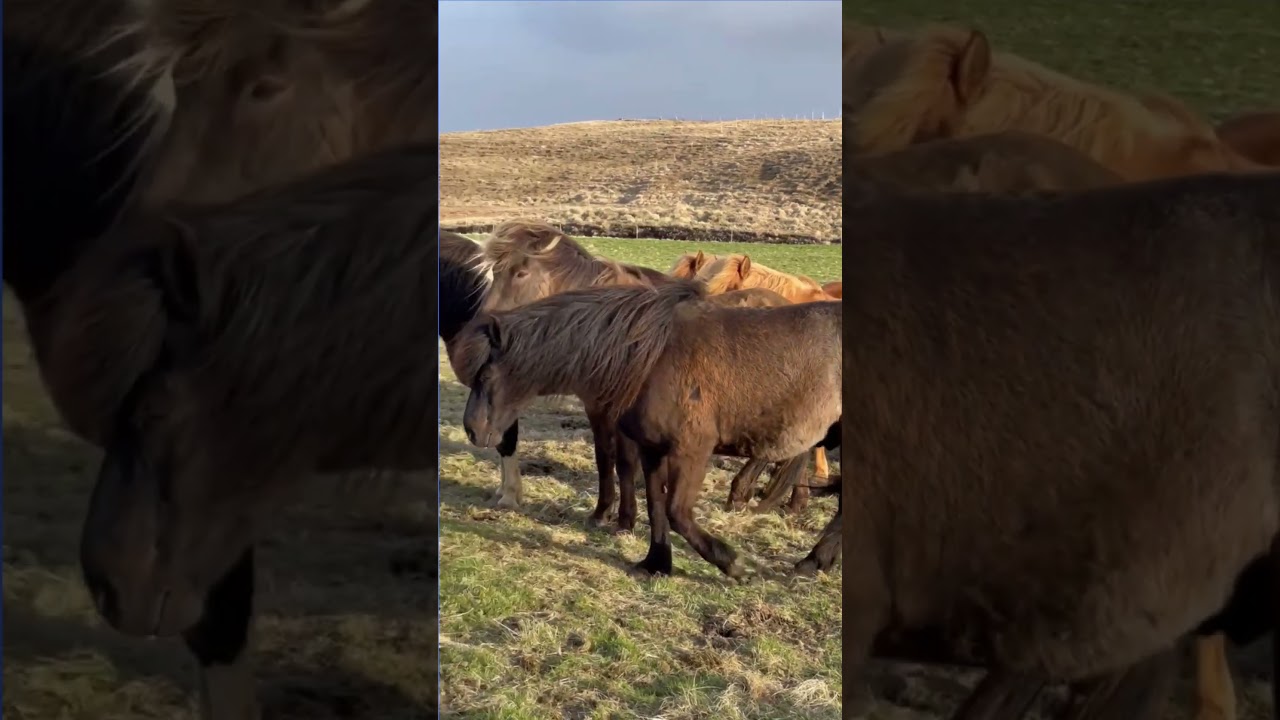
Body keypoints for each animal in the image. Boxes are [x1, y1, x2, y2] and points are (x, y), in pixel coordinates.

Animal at [456, 281, 841, 579]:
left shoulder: (691, 450)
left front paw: (732, 563)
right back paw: (816, 561)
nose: (473, 432)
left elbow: (676, 511)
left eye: (485, 374)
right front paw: (656, 563)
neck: (651, 357)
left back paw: (811, 560)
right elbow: (657, 505)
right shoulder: (652, 449)